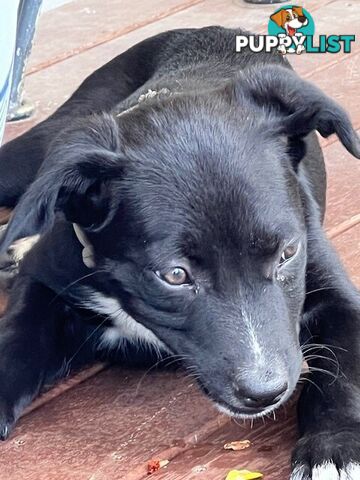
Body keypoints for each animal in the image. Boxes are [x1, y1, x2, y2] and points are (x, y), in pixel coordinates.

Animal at [0, 27, 360, 480]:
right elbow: (16, 340)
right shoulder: (44, 280)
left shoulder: (334, 290)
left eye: (288, 253)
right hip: (45, 143)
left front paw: (332, 447)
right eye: (174, 275)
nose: (266, 392)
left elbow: (343, 370)